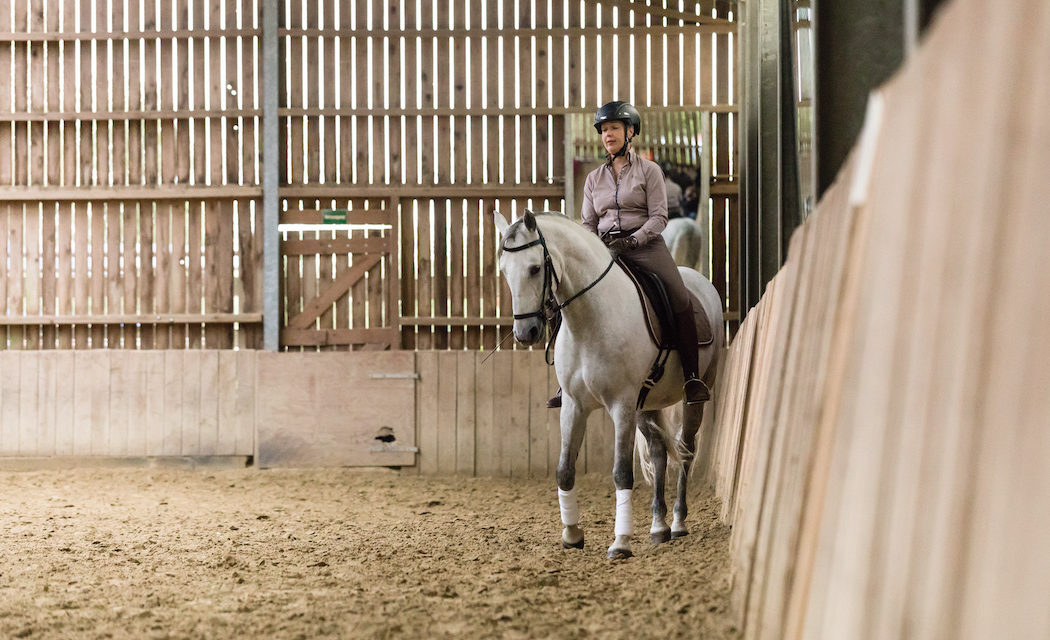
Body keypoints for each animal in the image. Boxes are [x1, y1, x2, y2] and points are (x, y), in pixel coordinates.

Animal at [491, 210, 722, 558]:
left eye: (534, 268)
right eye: (504, 271)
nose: (525, 333)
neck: (589, 319)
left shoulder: (621, 406)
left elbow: (621, 473)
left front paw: (621, 543)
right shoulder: (573, 406)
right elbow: (564, 471)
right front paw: (572, 535)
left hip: (692, 397)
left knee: (685, 450)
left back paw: (679, 522)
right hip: (646, 404)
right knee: (658, 452)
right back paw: (659, 527)